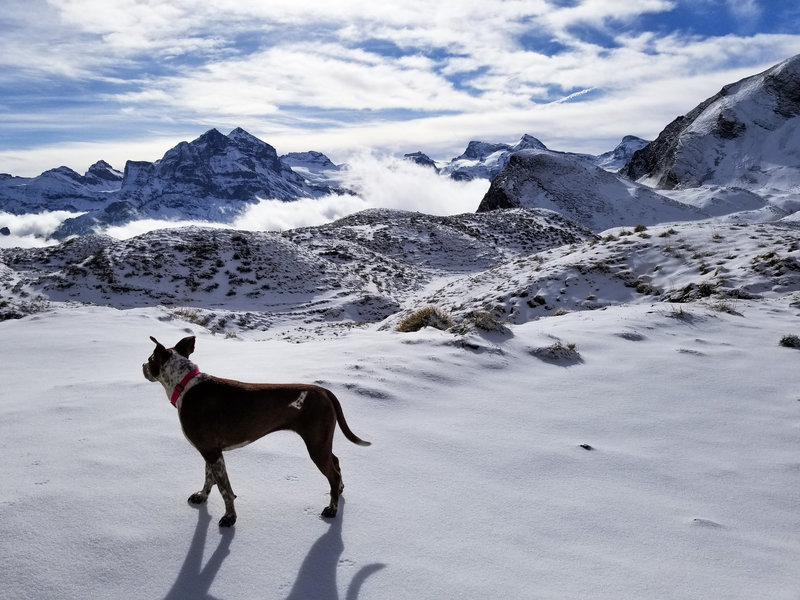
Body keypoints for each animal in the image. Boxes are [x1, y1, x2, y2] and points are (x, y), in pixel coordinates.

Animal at [141, 336, 372, 528]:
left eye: (150, 358)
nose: (142, 366)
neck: (184, 385)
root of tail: (324, 391)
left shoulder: (212, 453)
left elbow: (225, 490)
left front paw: (229, 517)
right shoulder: (210, 450)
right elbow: (209, 479)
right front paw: (202, 496)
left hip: (316, 444)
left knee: (332, 474)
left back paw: (332, 508)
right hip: (321, 441)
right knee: (336, 462)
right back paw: (339, 489)